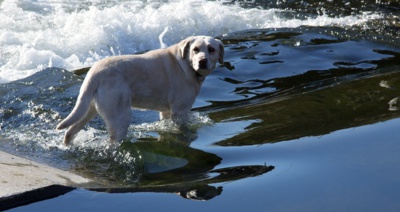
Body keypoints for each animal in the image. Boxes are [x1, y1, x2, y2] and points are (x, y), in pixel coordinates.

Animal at [56, 35, 225, 145]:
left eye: (211, 49)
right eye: (195, 49)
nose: (202, 61)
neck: (187, 64)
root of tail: (95, 72)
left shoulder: (166, 112)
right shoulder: (180, 111)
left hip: (89, 108)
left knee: (70, 131)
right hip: (120, 117)